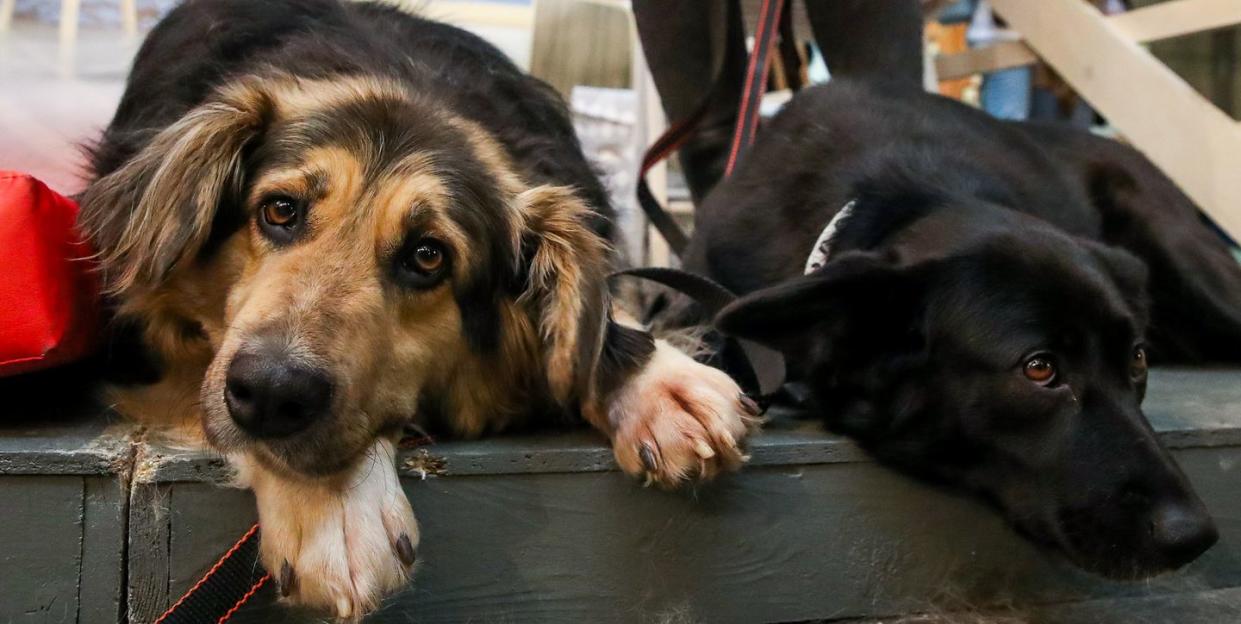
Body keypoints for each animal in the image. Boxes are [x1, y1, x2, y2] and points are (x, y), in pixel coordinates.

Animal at [80, 0, 754, 615]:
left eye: (428, 256)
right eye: (279, 210)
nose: (271, 392)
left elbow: (604, 309)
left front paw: (661, 379)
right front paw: (334, 507)